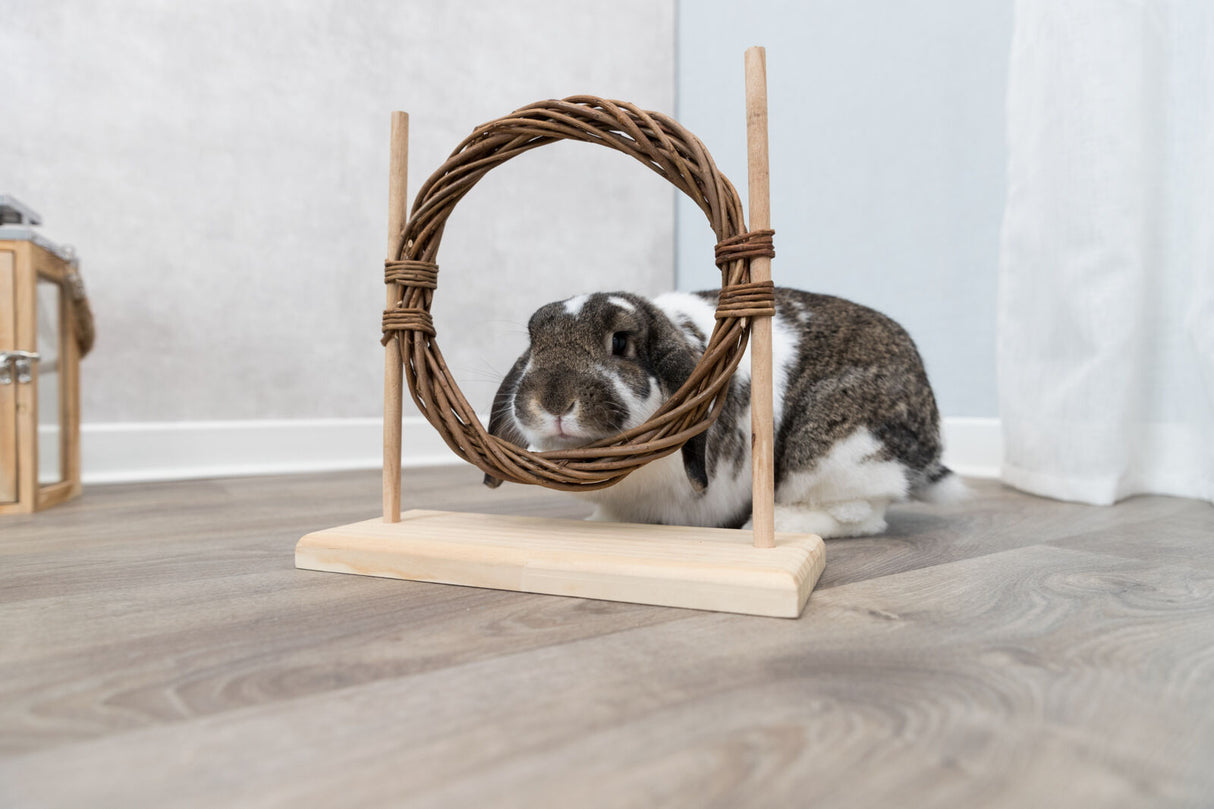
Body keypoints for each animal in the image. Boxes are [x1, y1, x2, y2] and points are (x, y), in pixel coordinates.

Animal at [486, 288, 964, 538]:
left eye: (620, 342)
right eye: (534, 342)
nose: (553, 402)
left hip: (837, 452)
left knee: (860, 514)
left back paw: (774, 524)